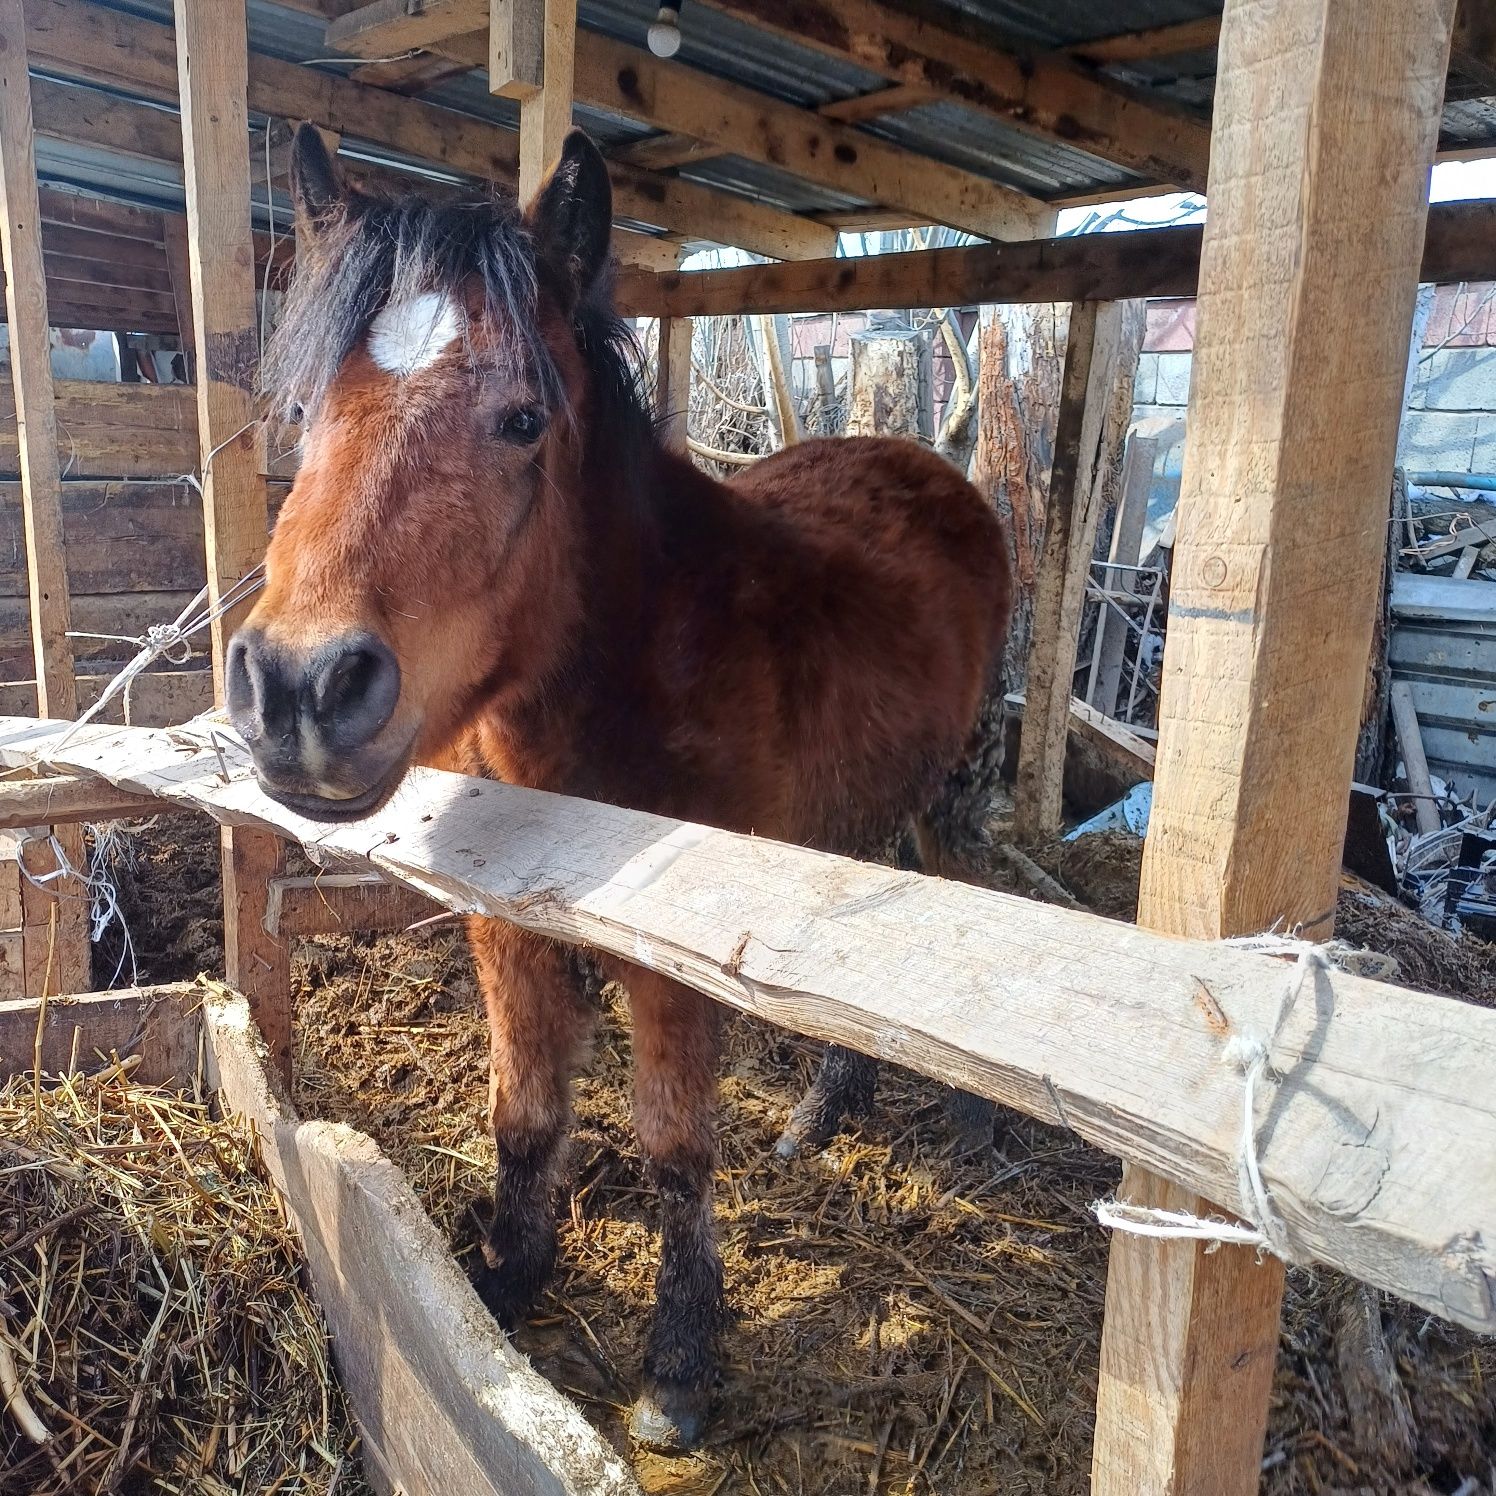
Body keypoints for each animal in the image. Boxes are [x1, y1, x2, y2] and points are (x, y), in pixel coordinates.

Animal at [227, 128, 1011, 1448]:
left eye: (521, 417)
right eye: (298, 412)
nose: (298, 688)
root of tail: (927, 465)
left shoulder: (674, 960)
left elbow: (673, 1146)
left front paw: (678, 1365)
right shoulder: (503, 925)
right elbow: (525, 1107)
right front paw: (504, 1273)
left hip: (937, 790)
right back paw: (817, 1114)